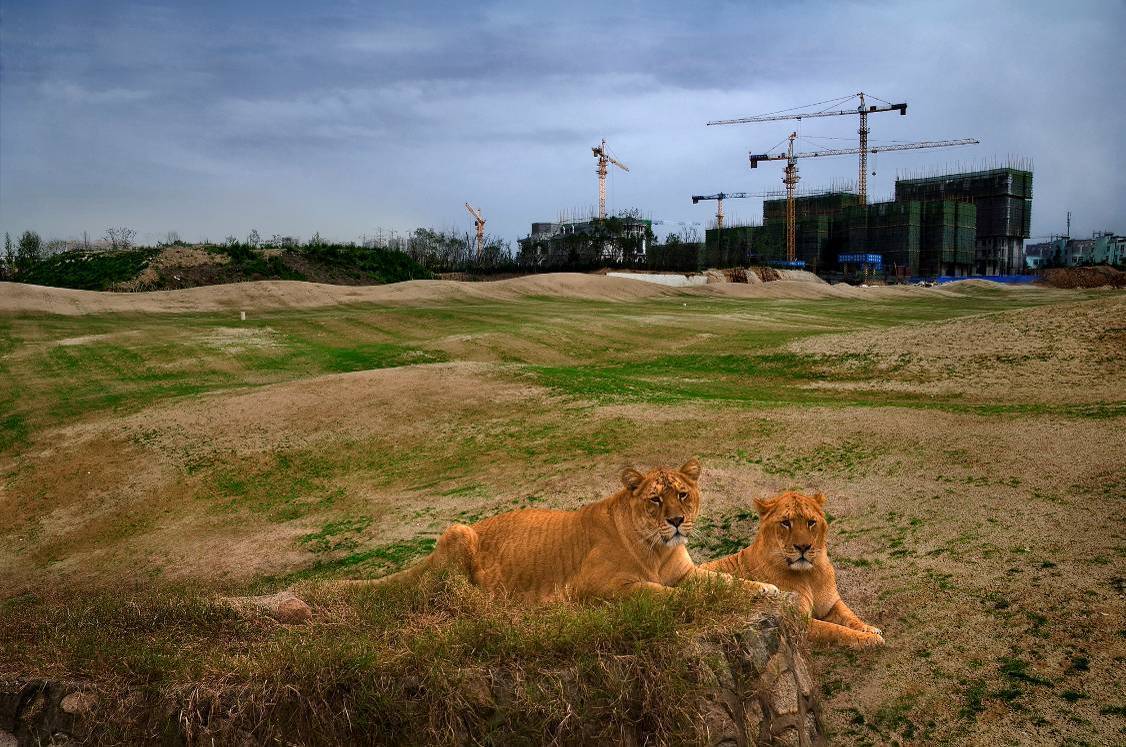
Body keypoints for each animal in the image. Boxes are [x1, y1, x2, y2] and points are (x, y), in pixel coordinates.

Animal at [328, 459, 779, 603]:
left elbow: (725, 581)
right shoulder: (597, 585)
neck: (658, 549)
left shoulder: (686, 573)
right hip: (458, 531)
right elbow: (658, 593)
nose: (676, 521)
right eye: (655, 500)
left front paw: (770, 589)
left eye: (683, 495)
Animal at [698, 491, 882, 648]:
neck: (809, 574)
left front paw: (870, 628)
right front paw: (869, 639)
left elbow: (850, 615)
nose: (803, 547)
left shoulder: (831, 604)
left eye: (811, 522)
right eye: (786, 523)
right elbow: (835, 630)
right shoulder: (798, 621)